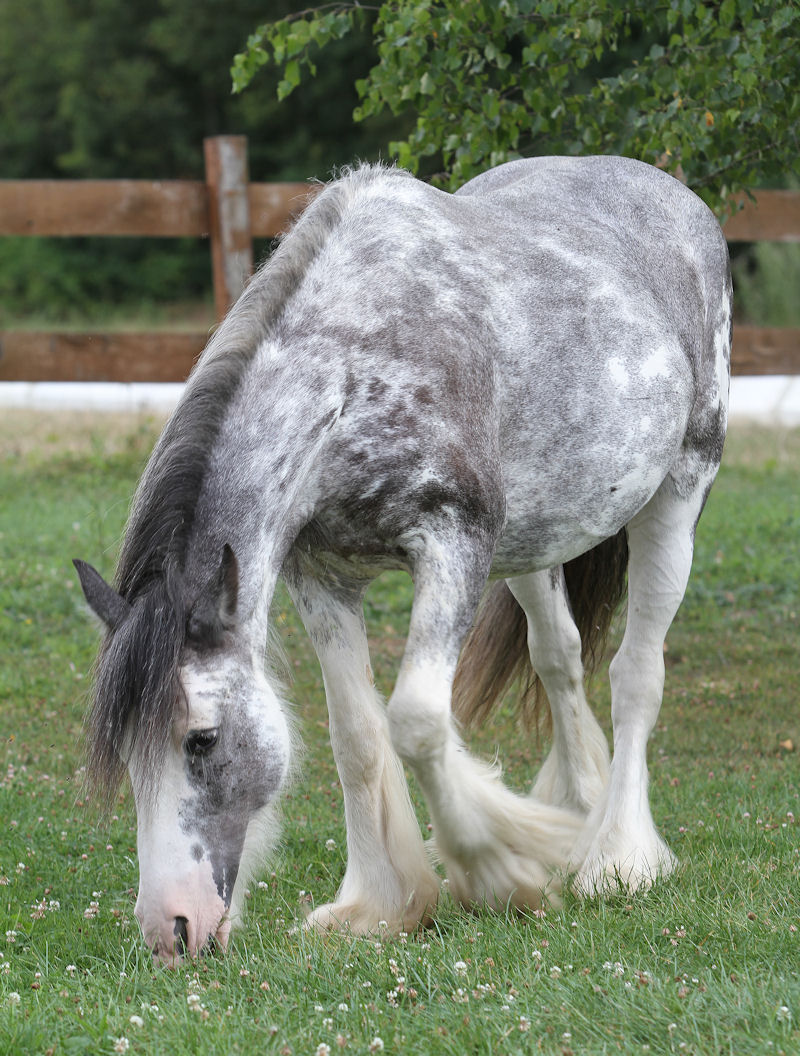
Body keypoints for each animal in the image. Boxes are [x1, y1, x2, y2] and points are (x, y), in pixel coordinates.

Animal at [74, 154, 734, 967]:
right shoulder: (320, 577)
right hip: (537, 543)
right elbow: (357, 738)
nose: (172, 930)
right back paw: (581, 806)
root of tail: (669, 193)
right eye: (126, 753)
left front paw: (499, 873)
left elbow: (416, 722)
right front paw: (381, 905)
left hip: (679, 492)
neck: (356, 371)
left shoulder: (454, 544)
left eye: (202, 739)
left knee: (636, 674)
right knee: (559, 657)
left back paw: (617, 856)